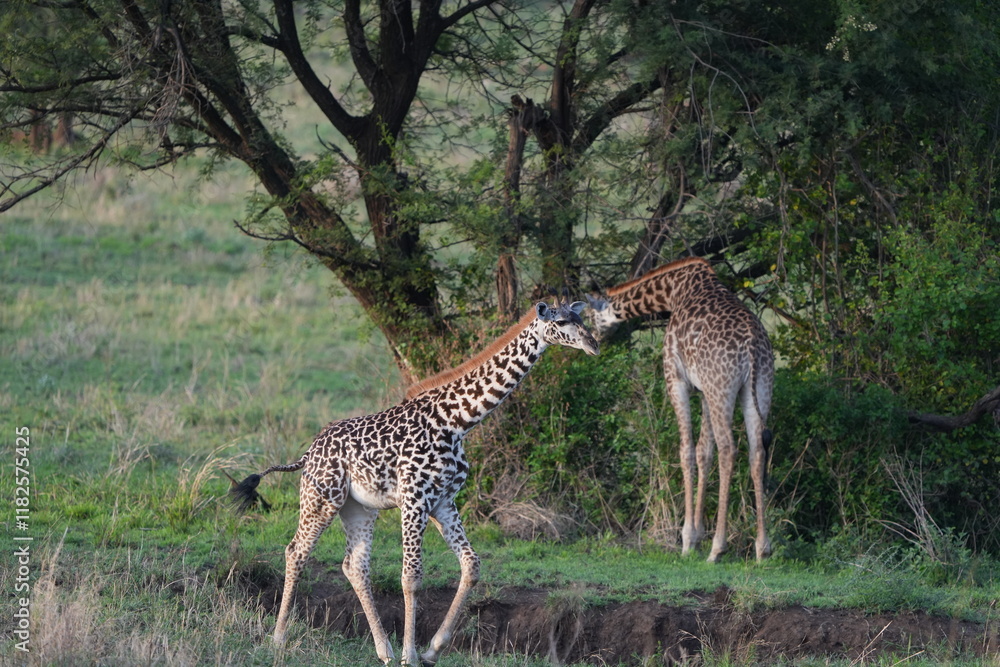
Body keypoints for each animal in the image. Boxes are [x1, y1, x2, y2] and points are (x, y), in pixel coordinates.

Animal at [231, 301, 599, 665]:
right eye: (561, 321)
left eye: (581, 317)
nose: (592, 344)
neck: (456, 421)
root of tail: (307, 453)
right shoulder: (414, 499)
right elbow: (411, 577)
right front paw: (411, 654)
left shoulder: (444, 502)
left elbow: (471, 565)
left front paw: (431, 650)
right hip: (322, 498)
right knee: (296, 552)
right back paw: (279, 640)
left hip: (358, 508)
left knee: (354, 566)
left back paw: (384, 650)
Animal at [586, 257, 774, 562]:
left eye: (589, 316)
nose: (594, 340)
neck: (673, 290)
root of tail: (752, 348)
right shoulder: (704, 390)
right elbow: (703, 453)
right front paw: (696, 536)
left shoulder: (676, 379)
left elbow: (686, 452)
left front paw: (687, 541)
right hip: (757, 388)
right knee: (757, 452)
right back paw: (762, 549)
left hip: (722, 387)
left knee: (728, 449)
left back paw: (717, 548)